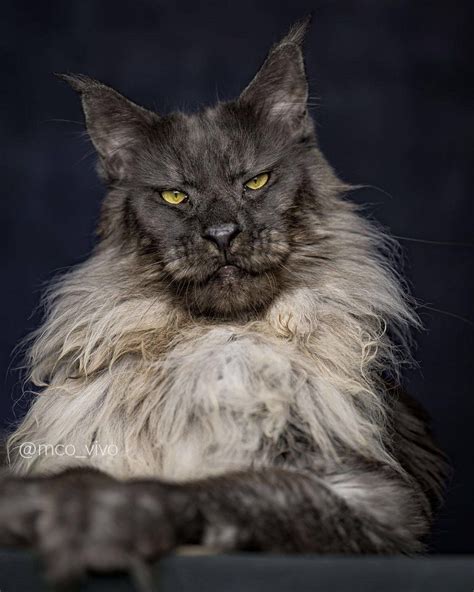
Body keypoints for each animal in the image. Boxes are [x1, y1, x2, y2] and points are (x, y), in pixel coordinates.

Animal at [0, 17, 444, 584]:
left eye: (255, 182)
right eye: (175, 196)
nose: (222, 233)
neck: (215, 349)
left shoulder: (375, 498)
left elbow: (228, 489)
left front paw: (95, 521)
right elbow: (71, 473)